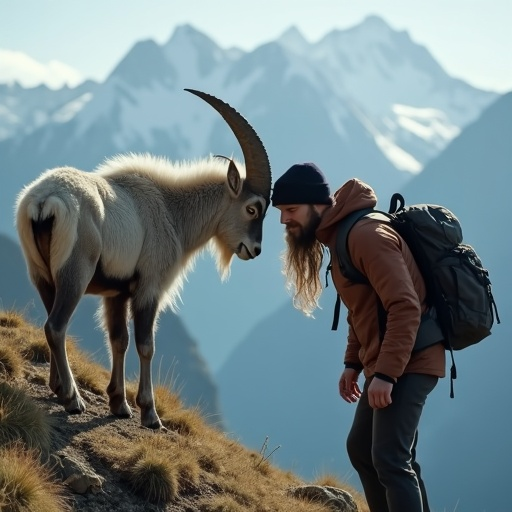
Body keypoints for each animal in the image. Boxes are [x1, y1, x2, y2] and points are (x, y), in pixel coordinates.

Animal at [15, 88, 272, 428]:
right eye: (252, 208)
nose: (254, 249)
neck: (171, 209)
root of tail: (45, 202)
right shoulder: (149, 287)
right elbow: (146, 344)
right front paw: (149, 413)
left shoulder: (116, 294)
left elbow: (119, 339)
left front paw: (119, 403)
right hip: (75, 275)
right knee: (56, 326)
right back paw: (72, 399)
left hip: (42, 275)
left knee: (50, 322)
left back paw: (58, 388)